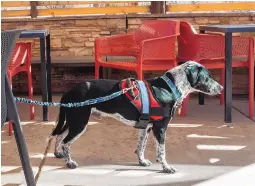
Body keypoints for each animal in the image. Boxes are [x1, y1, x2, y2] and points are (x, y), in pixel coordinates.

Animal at [49, 61, 223, 173]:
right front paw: (166, 168)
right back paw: (69, 162)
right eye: (208, 76)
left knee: (60, 136)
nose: (221, 88)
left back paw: (58, 154)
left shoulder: (146, 127)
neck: (169, 87)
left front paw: (142, 162)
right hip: (79, 123)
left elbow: (141, 147)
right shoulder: (160, 128)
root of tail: (68, 92)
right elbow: (161, 151)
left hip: (74, 122)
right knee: (65, 142)